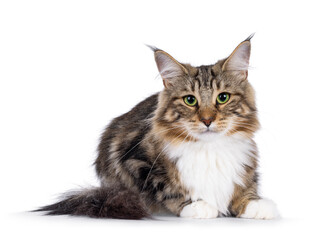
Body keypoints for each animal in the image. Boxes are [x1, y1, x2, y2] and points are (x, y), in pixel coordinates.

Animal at [36, 34, 278, 220]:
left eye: (223, 97)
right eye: (190, 100)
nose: (207, 120)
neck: (210, 150)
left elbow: (247, 187)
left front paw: (254, 203)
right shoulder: (136, 160)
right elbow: (166, 189)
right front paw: (196, 206)